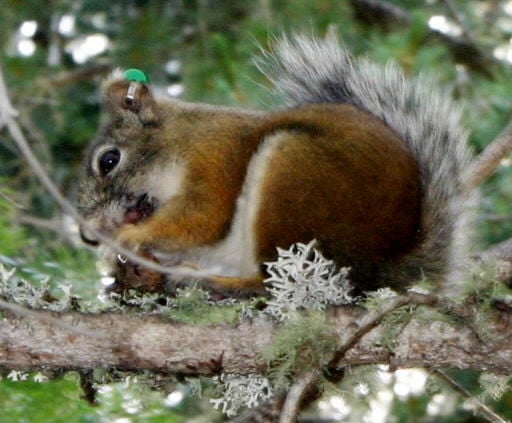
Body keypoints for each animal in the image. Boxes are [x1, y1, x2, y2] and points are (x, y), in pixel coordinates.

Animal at [77, 34, 476, 296]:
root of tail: (381, 268)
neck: (182, 140)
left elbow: (203, 217)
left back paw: (211, 282)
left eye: (109, 160)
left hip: (292, 181)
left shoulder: (217, 158)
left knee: (271, 283)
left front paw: (128, 240)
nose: (87, 235)